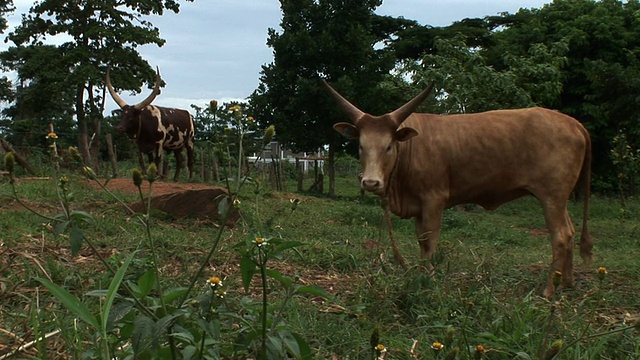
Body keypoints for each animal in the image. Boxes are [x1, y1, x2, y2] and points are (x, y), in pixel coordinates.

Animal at [324, 81, 596, 298]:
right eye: (361, 145)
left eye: (389, 146)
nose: (371, 183)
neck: (410, 150)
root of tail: (573, 123)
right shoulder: (419, 206)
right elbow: (421, 241)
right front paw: (420, 276)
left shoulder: (434, 200)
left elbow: (430, 241)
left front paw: (429, 280)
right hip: (560, 198)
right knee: (570, 232)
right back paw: (566, 283)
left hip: (551, 195)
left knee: (560, 235)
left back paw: (549, 290)